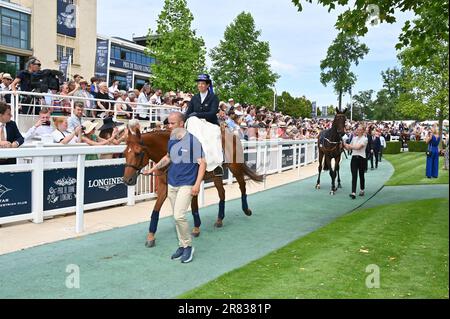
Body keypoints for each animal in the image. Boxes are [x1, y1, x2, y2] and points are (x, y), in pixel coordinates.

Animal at [121, 127, 266, 248]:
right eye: (124, 153)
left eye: (138, 153)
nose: (127, 180)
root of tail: (233, 135)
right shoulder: (164, 187)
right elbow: (155, 211)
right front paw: (151, 236)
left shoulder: (191, 184)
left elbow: (194, 206)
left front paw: (196, 228)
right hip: (217, 175)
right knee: (222, 193)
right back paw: (219, 219)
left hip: (235, 167)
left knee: (242, 187)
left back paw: (246, 210)